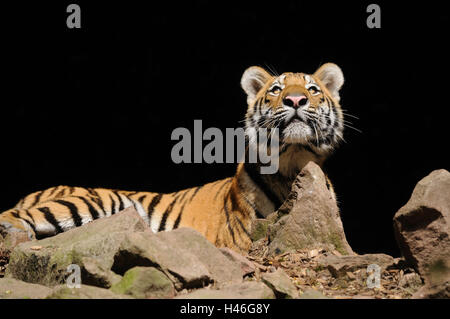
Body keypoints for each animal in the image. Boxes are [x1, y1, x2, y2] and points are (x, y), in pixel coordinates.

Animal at [0, 62, 344, 252]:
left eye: (313, 89)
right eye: (275, 89)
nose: (295, 99)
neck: (292, 164)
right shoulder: (242, 238)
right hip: (97, 201)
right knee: (10, 215)